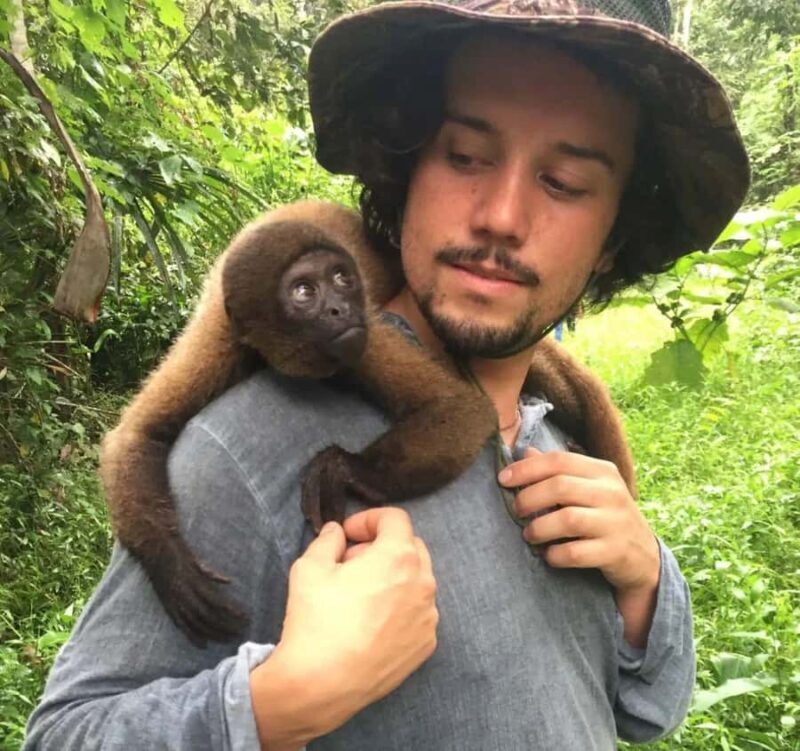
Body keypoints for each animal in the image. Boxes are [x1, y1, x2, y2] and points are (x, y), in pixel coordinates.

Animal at [100, 200, 636, 646]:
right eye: (303, 291)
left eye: (342, 279)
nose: (340, 308)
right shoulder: (221, 341)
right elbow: (139, 434)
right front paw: (171, 563)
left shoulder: (362, 339)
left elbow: (460, 407)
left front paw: (343, 469)